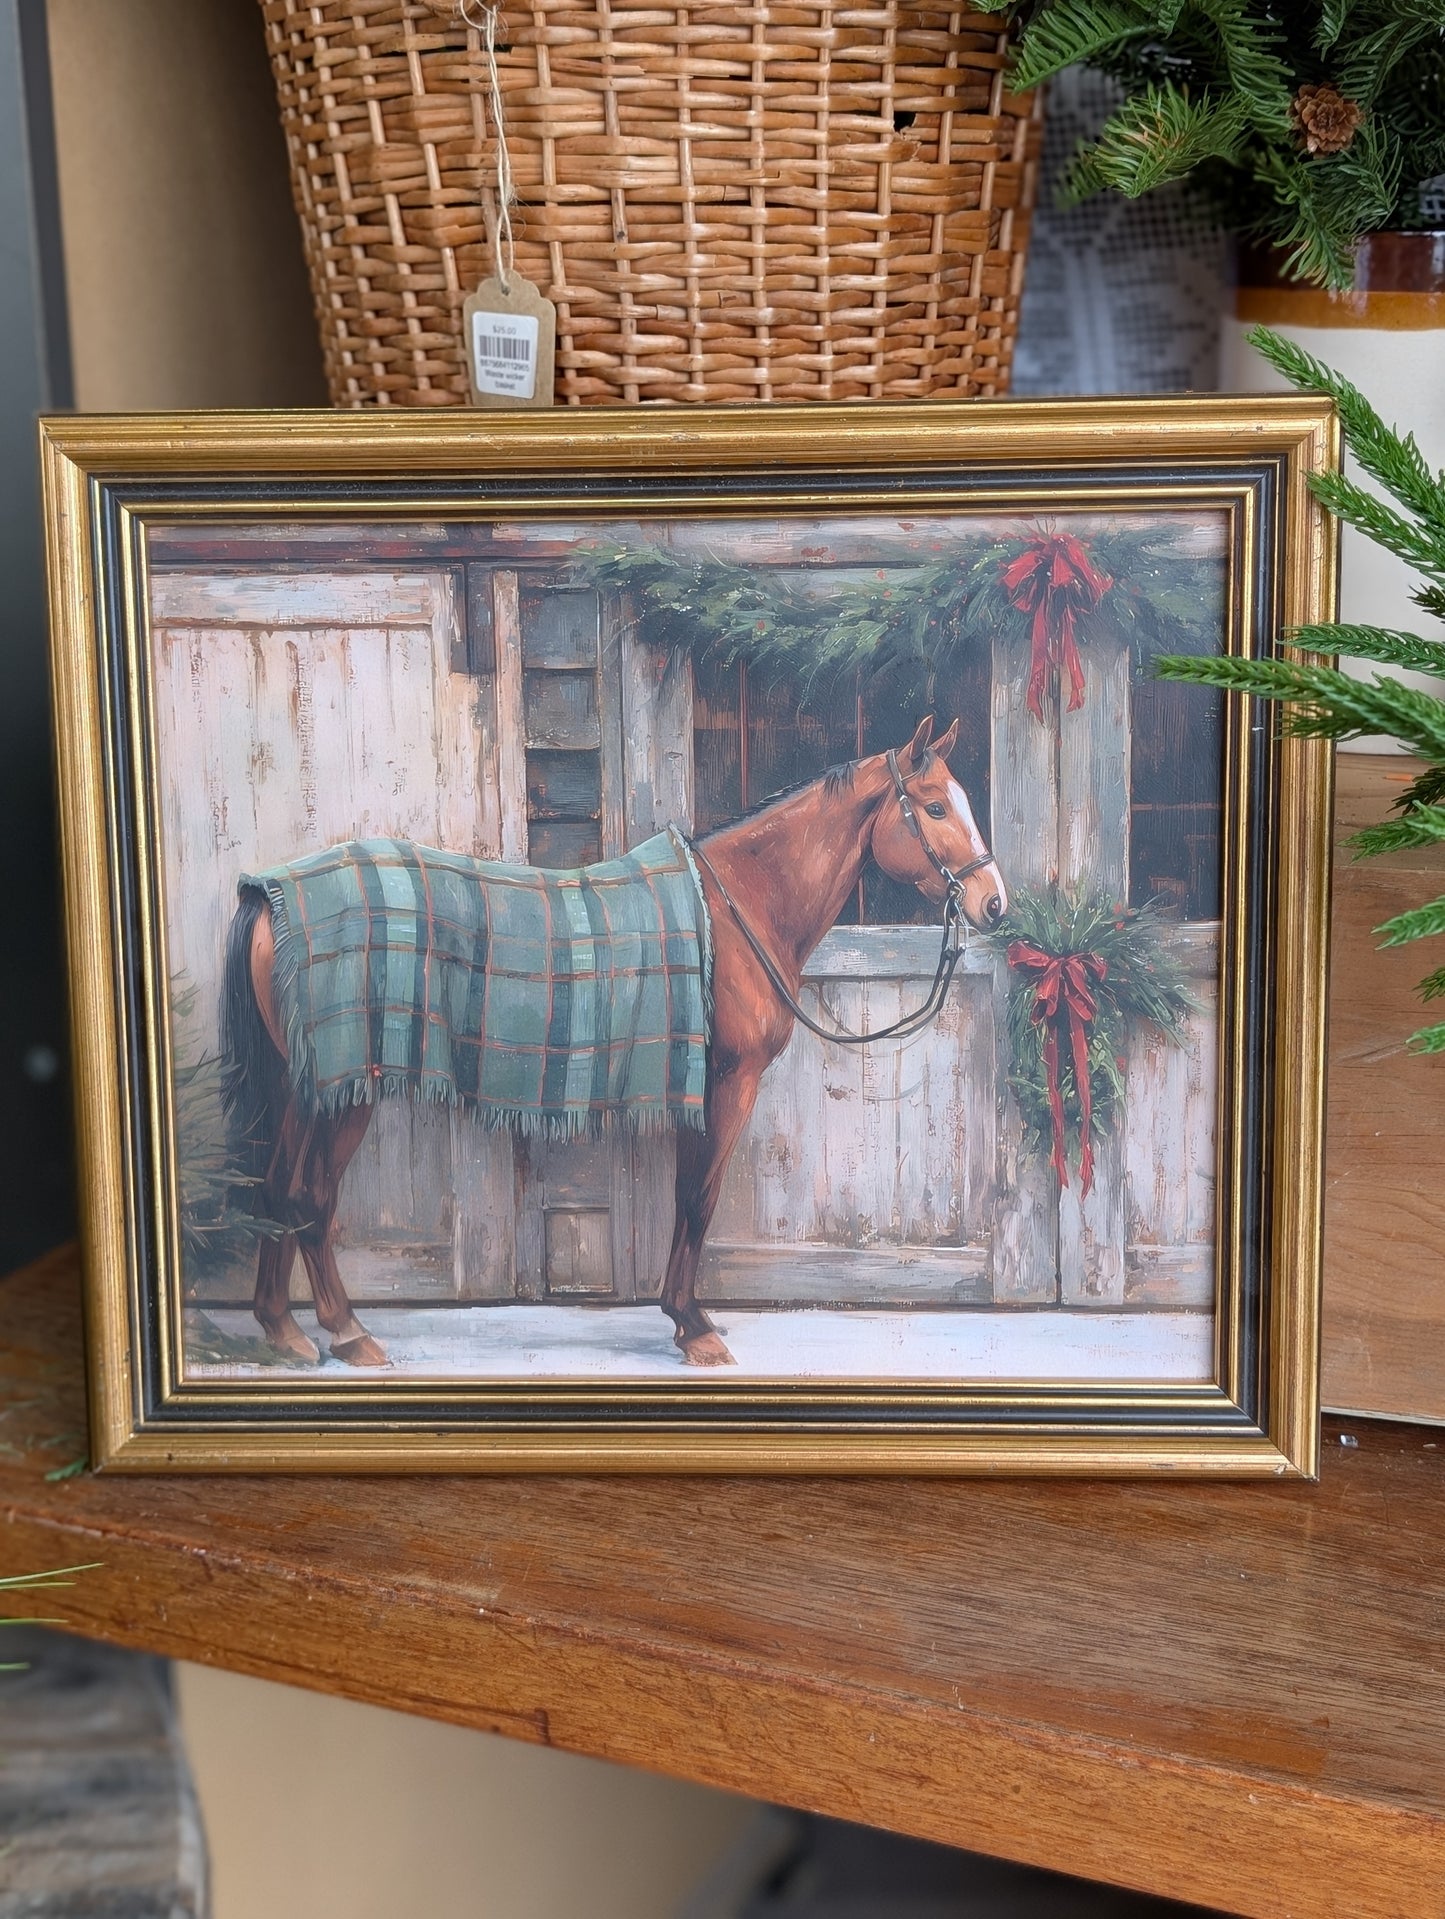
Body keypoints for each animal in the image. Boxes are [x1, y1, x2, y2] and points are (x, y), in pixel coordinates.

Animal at [221, 715, 1005, 1369]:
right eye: (935, 807)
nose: (993, 903)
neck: (733, 912)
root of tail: (271, 895)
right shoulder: (725, 1083)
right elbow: (696, 1197)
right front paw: (694, 1328)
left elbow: (691, 1195)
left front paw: (684, 1317)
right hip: (339, 1089)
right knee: (309, 1194)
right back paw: (346, 1332)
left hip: (301, 1085)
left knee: (280, 1187)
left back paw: (284, 1330)